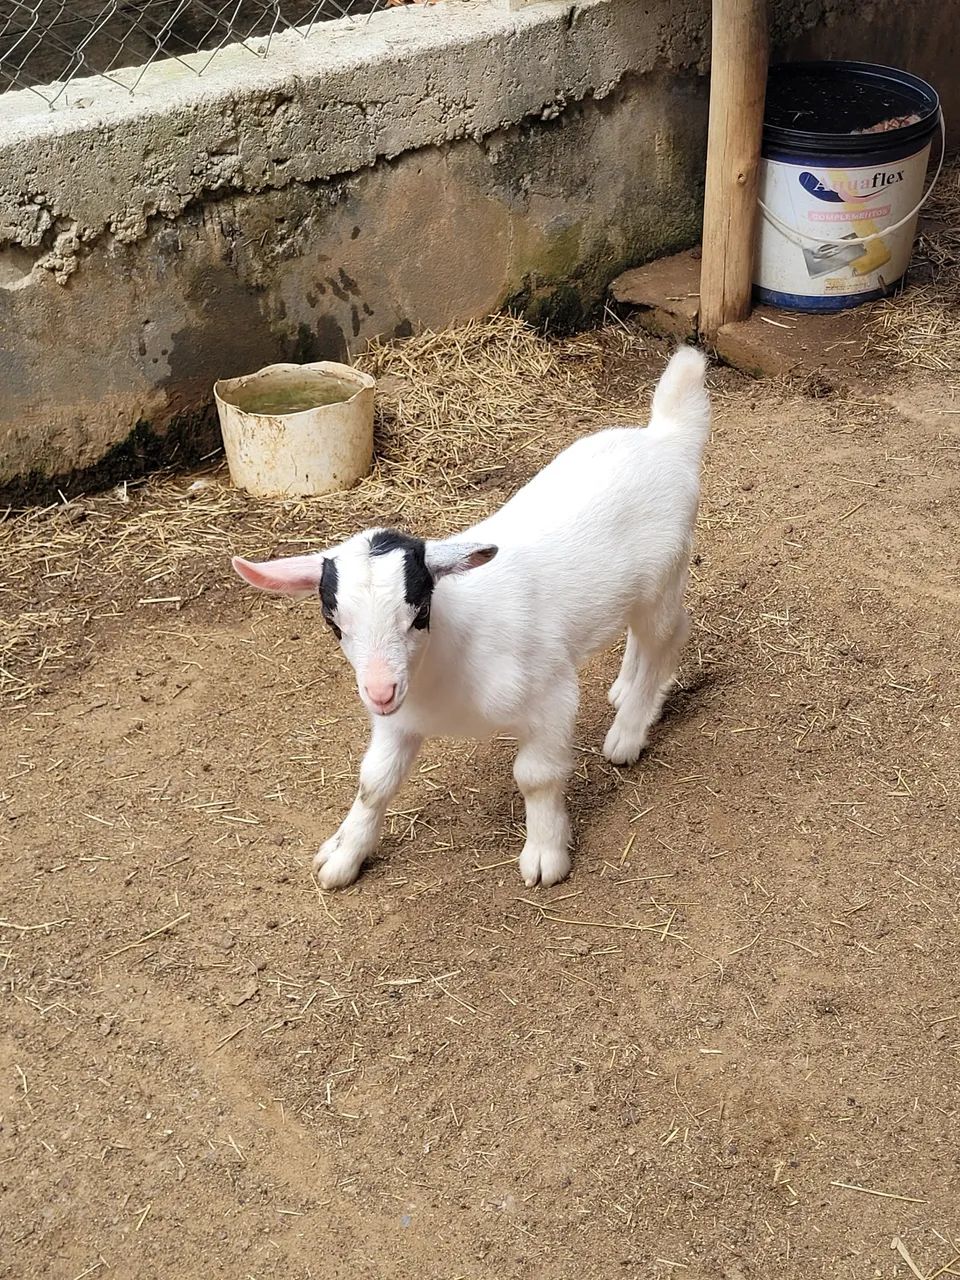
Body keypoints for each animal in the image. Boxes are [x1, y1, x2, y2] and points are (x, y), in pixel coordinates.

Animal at [232, 345, 710, 890]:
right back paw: (625, 690)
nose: (380, 692)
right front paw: (343, 855)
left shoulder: (550, 697)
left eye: (419, 609)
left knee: (668, 634)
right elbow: (374, 782)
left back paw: (630, 729)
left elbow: (536, 777)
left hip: (664, 578)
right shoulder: (400, 721)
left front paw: (545, 855)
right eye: (334, 623)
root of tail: (665, 437)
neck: (446, 658)